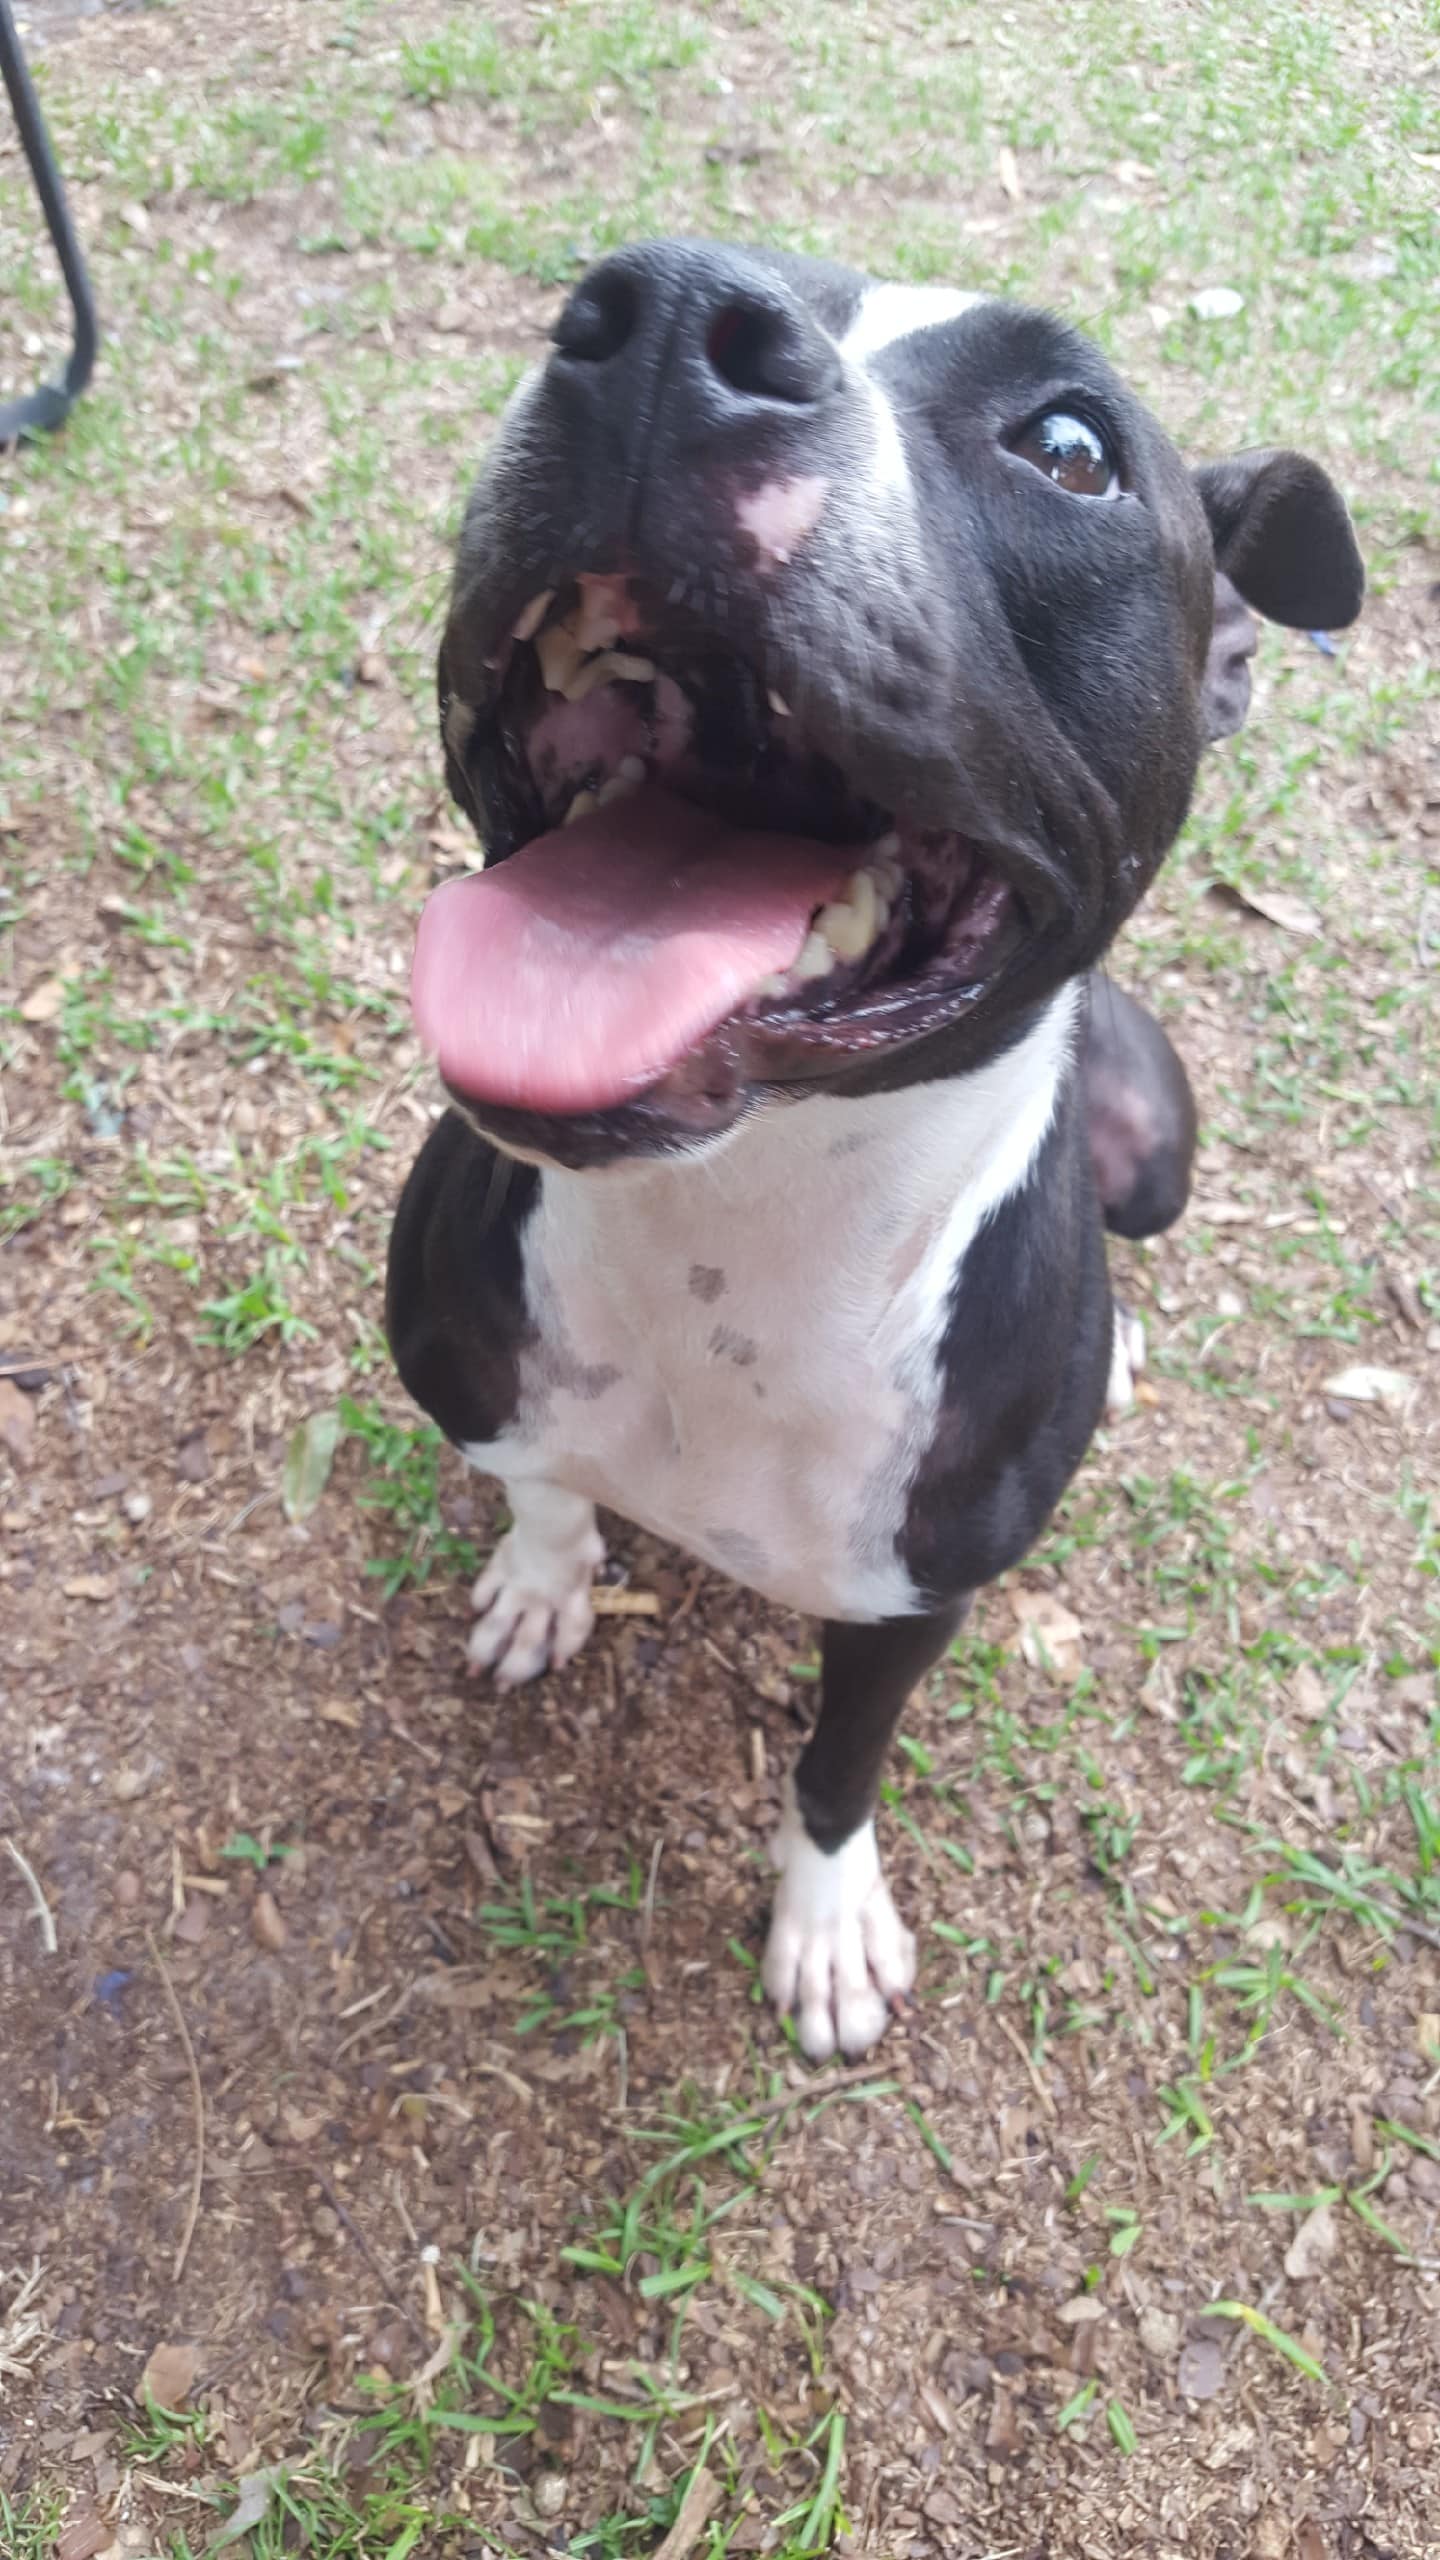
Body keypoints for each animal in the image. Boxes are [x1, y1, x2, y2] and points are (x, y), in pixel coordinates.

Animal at [387, 243, 1362, 2060]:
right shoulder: (469, 1376)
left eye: (1068, 447)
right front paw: (547, 1577)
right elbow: (542, 1485)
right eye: (598, 291)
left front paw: (828, 1924)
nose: (662, 322)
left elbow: (838, 1770)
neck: (738, 1231)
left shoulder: (916, 1605)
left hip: (1159, 1151)